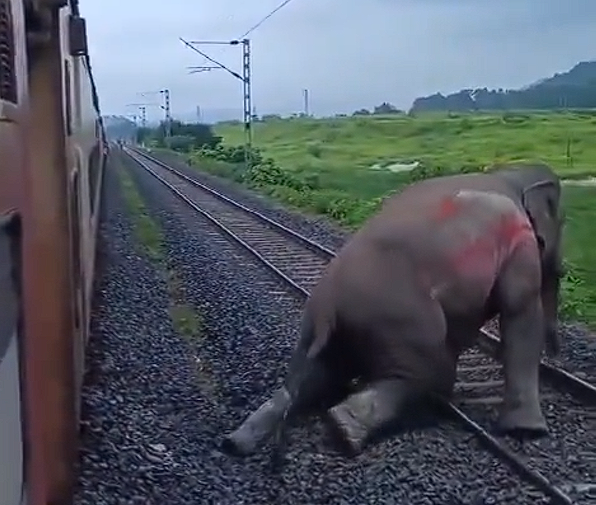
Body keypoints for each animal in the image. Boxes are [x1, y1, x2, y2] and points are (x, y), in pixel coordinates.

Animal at [224, 161, 564, 456]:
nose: (557, 357)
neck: (510, 173)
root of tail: (328, 307)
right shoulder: (519, 241)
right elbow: (520, 310)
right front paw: (528, 432)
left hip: (320, 330)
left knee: (309, 380)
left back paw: (237, 442)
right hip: (400, 322)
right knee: (425, 374)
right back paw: (345, 431)